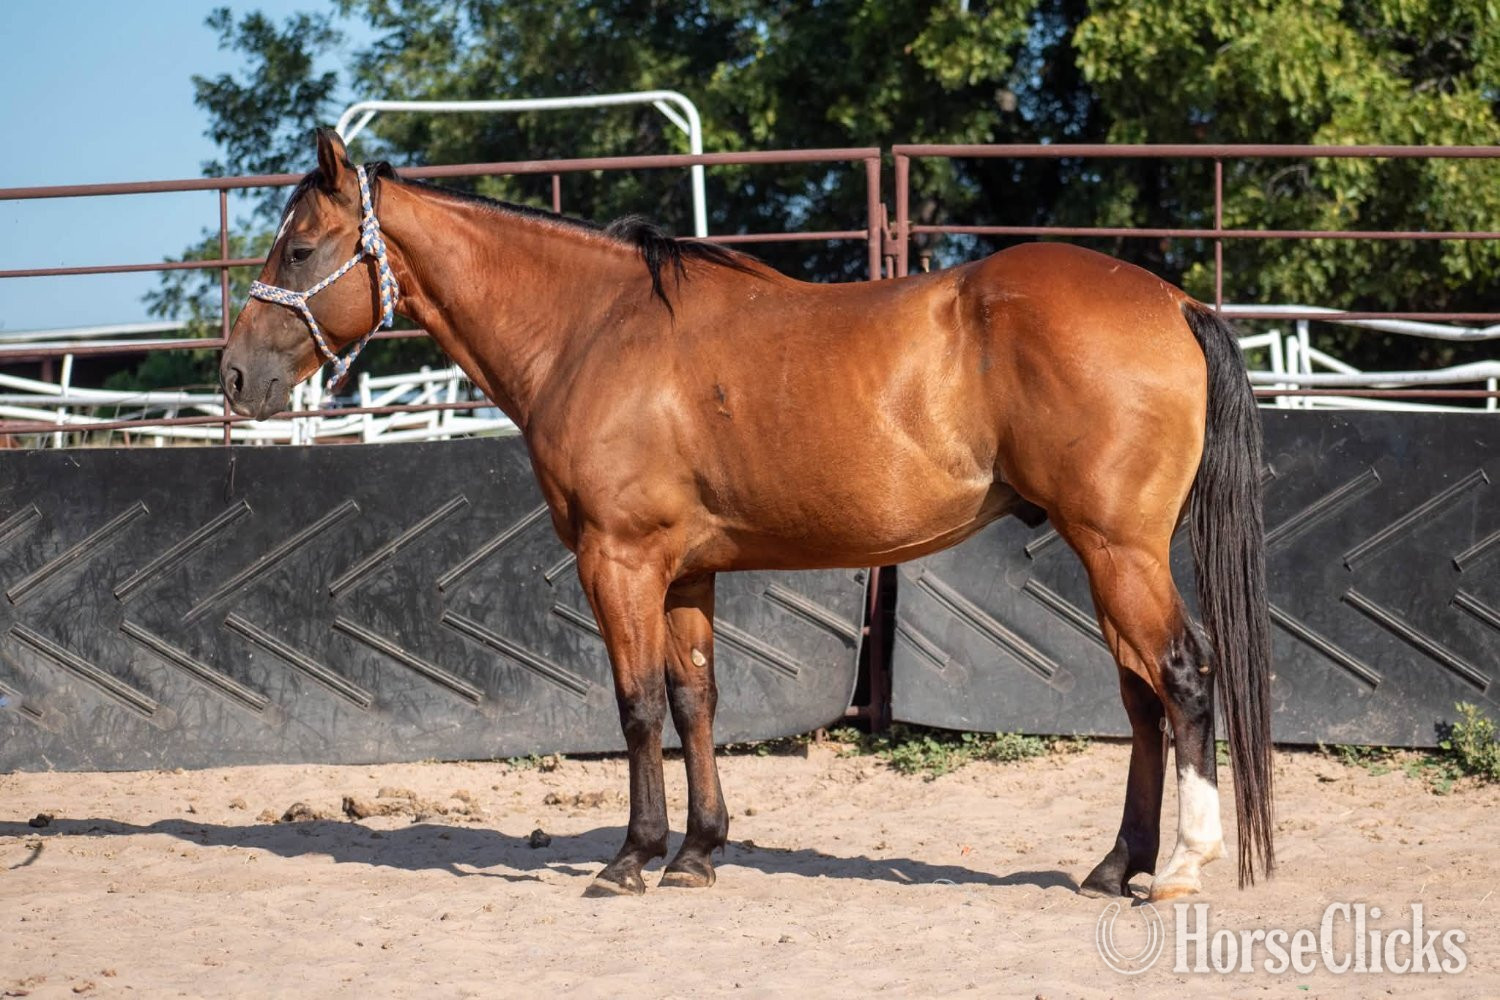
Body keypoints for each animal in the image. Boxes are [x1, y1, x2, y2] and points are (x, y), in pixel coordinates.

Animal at [221, 128, 1275, 901]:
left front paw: (632, 858)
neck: (595, 331)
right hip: (1109, 556)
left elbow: (637, 705)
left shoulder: (619, 562)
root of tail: (1175, 301)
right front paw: (697, 851)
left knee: (1184, 678)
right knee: (1142, 697)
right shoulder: (685, 572)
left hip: (1119, 550)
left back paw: (1180, 868)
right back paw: (1116, 864)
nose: (234, 377)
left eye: (301, 249)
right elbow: (696, 700)